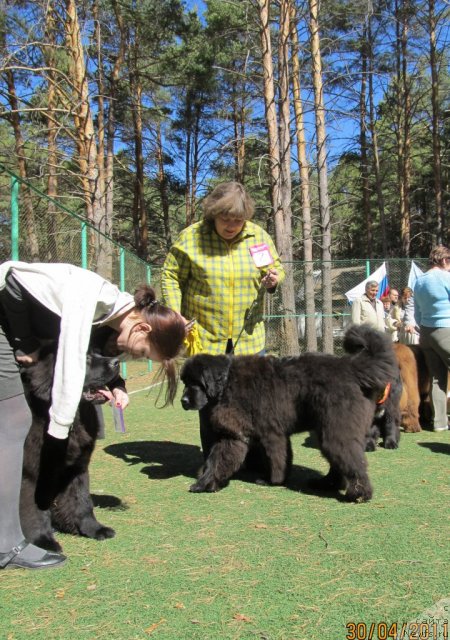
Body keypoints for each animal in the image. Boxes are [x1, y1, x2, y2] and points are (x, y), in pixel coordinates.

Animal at [19, 342, 122, 552]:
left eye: (97, 352)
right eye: (85, 358)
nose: (117, 361)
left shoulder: (77, 467)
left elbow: (82, 501)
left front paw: (93, 529)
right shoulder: (32, 473)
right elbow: (35, 509)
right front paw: (43, 540)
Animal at [181, 324, 400, 500]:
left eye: (196, 383)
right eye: (184, 382)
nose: (183, 401)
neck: (226, 384)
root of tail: (350, 366)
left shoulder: (271, 433)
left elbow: (277, 458)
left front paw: (273, 481)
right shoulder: (234, 435)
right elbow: (217, 460)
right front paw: (205, 483)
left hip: (337, 429)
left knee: (351, 460)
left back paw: (359, 493)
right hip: (327, 430)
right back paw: (327, 484)